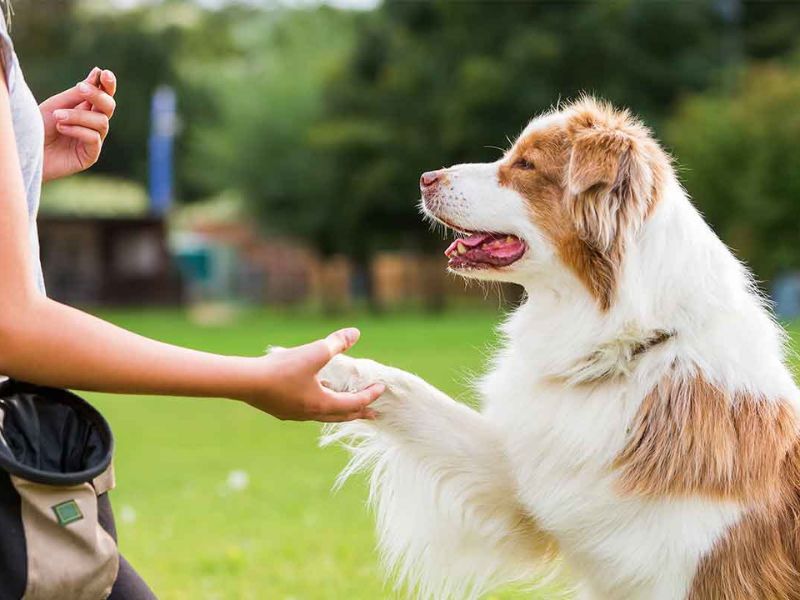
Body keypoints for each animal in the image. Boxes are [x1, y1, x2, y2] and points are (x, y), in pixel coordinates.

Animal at [318, 97, 800, 600]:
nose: (426, 177)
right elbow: (409, 390)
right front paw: (324, 365)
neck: (624, 349)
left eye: (525, 165)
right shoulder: (533, 477)